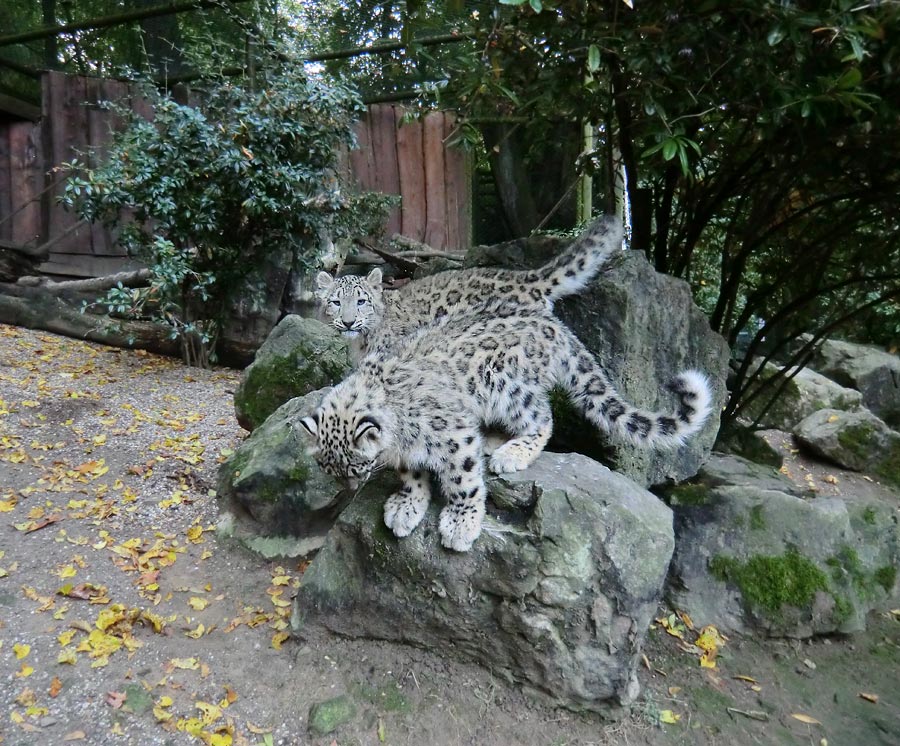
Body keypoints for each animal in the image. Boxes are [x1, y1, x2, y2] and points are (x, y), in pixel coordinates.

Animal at [298, 310, 712, 548]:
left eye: (357, 467)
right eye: (329, 469)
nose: (350, 489)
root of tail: (555, 325)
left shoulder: (453, 432)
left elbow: (463, 480)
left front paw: (461, 524)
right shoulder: (405, 451)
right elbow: (412, 475)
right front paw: (407, 506)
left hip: (506, 384)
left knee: (543, 417)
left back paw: (510, 453)